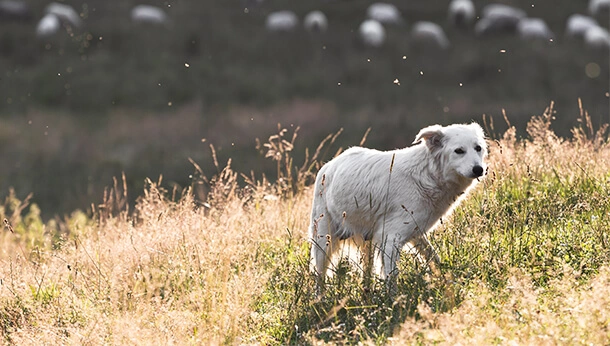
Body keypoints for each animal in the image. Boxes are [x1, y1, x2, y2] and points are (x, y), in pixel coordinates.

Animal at [308, 123, 484, 282]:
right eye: (459, 151)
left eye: (478, 148)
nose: (479, 169)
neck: (428, 174)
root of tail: (329, 165)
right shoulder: (391, 238)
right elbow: (392, 280)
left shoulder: (415, 233)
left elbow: (434, 259)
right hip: (324, 241)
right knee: (319, 278)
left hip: (367, 245)